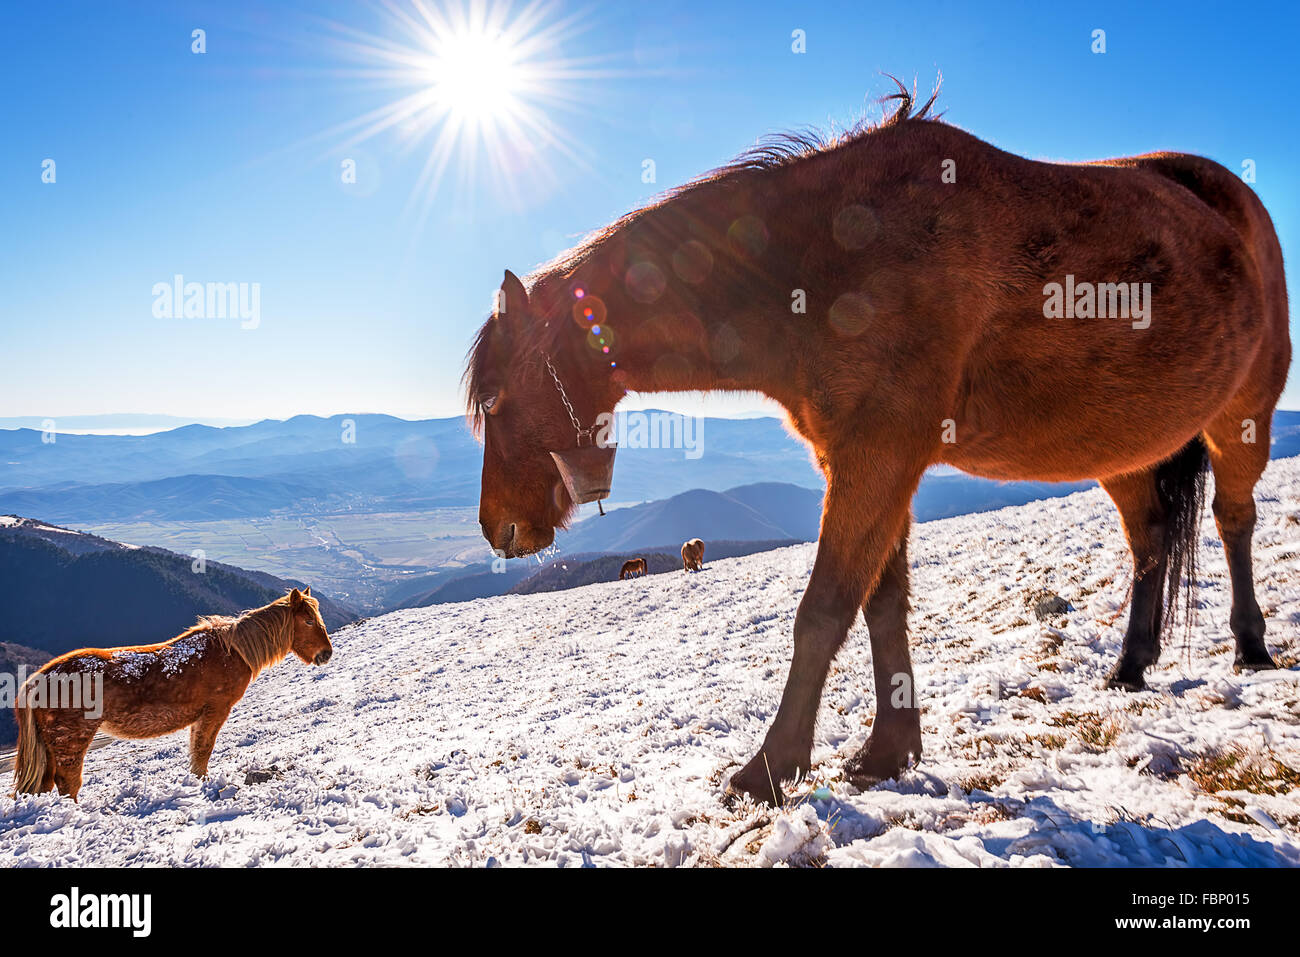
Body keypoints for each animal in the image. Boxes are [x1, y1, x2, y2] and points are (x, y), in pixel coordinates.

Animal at [15, 582, 330, 800]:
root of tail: (36, 680)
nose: (326, 654)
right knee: (68, 782)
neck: (233, 651)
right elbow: (203, 751)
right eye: (308, 621)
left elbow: (197, 753)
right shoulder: (216, 710)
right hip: (71, 740)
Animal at [467, 82, 1289, 806]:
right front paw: (889, 750)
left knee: (1234, 519)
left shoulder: (879, 457)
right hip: (1119, 451)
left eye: (498, 398)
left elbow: (825, 609)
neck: (822, 262)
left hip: (1242, 415)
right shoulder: (862, 461)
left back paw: (1250, 647)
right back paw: (1130, 665)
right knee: (1150, 538)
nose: (499, 530)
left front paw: (770, 768)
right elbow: (881, 606)